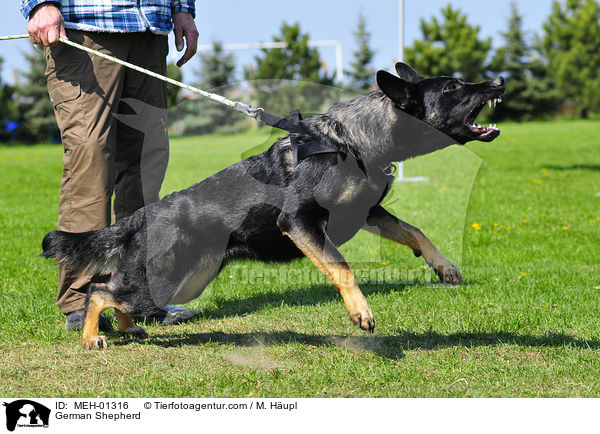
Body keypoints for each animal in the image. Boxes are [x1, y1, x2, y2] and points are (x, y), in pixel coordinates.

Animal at [39, 62, 504, 348]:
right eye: (452, 88)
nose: (499, 81)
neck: (354, 142)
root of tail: (141, 215)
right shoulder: (299, 222)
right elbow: (342, 267)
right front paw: (361, 312)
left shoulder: (369, 213)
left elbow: (415, 231)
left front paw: (443, 267)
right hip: (163, 281)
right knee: (98, 291)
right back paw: (91, 336)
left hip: (182, 282)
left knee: (113, 292)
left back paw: (130, 328)